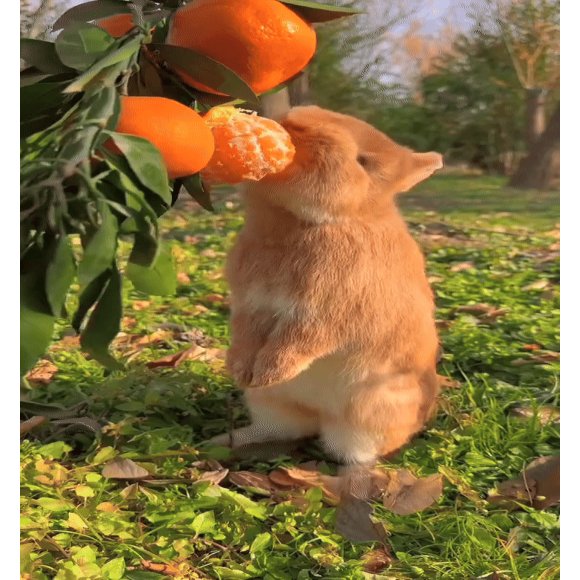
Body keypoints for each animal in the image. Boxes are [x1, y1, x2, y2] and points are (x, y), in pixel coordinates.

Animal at [210, 106, 444, 464]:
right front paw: (240, 371)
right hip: (271, 406)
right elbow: (246, 334)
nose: (297, 124)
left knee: (353, 452)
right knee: (281, 430)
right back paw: (224, 442)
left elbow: (296, 342)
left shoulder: (324, 313)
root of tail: (317, 414)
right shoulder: (251, 304)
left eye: (363, 161)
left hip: (366, 418)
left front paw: (267, 374)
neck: (300, 221)